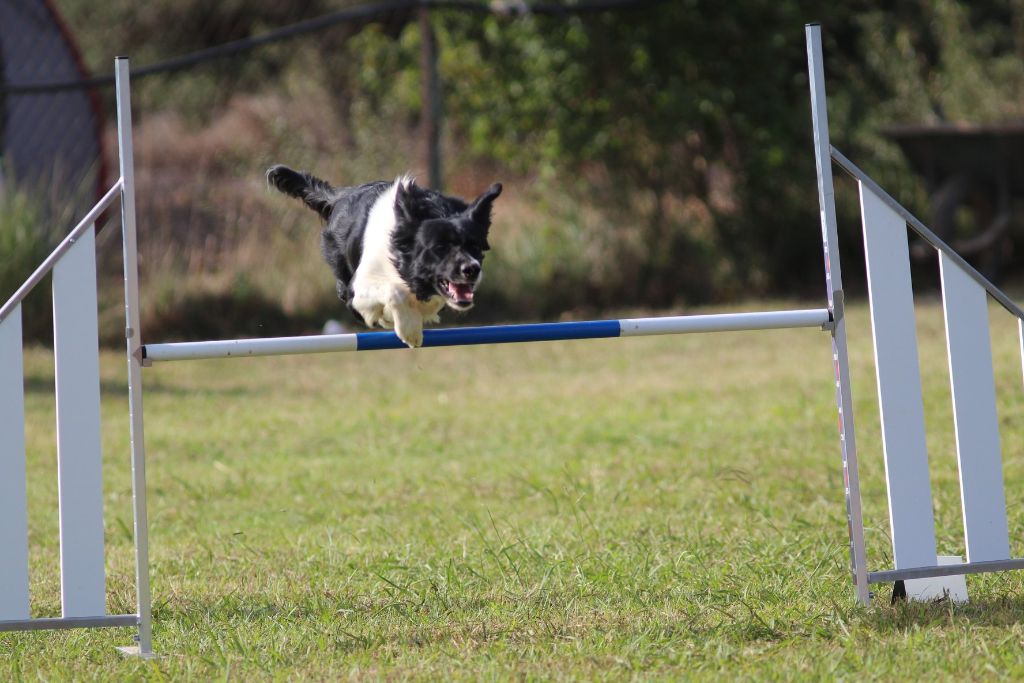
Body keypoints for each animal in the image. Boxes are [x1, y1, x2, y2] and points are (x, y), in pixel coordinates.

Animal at [266, 165, 501, 348]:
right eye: (439, 247)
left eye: (474, 246)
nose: (471, 270)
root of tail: (340, 196)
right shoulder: (358, 289)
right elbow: (393, 293)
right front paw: (409, 330)